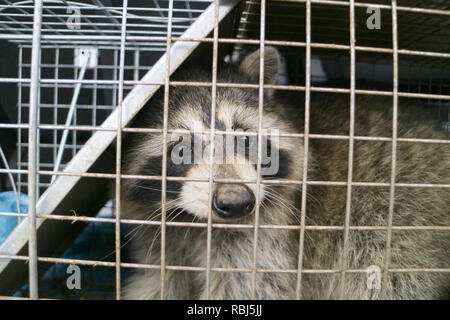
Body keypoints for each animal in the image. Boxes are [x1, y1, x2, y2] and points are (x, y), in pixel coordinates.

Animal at [119, 47, 450, 300]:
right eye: (181, 148)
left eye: (245, 139)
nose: (236, 202)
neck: (196, 222)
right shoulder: (160, 236)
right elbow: (157, 281)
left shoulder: (269, 235)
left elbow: (253, 287)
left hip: (400, 217)